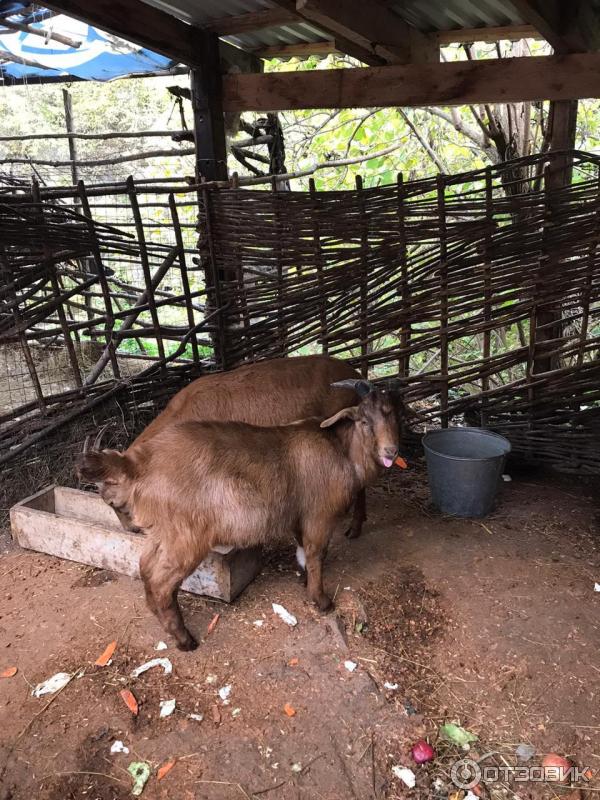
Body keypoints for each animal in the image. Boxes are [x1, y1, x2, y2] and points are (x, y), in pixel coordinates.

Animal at [78, 382, 398, 648]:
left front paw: (304, 579)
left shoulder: (298, 515)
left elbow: (303, 551)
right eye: (364, 420)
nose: (391, 451)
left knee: (145, 567)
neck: (340, 449)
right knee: (160, 582)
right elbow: (317, 553)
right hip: (186, 536)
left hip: (164, 533)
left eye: (393, 414)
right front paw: (322, 601)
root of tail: (138, 463)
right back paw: (185, 640)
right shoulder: (319, 515)